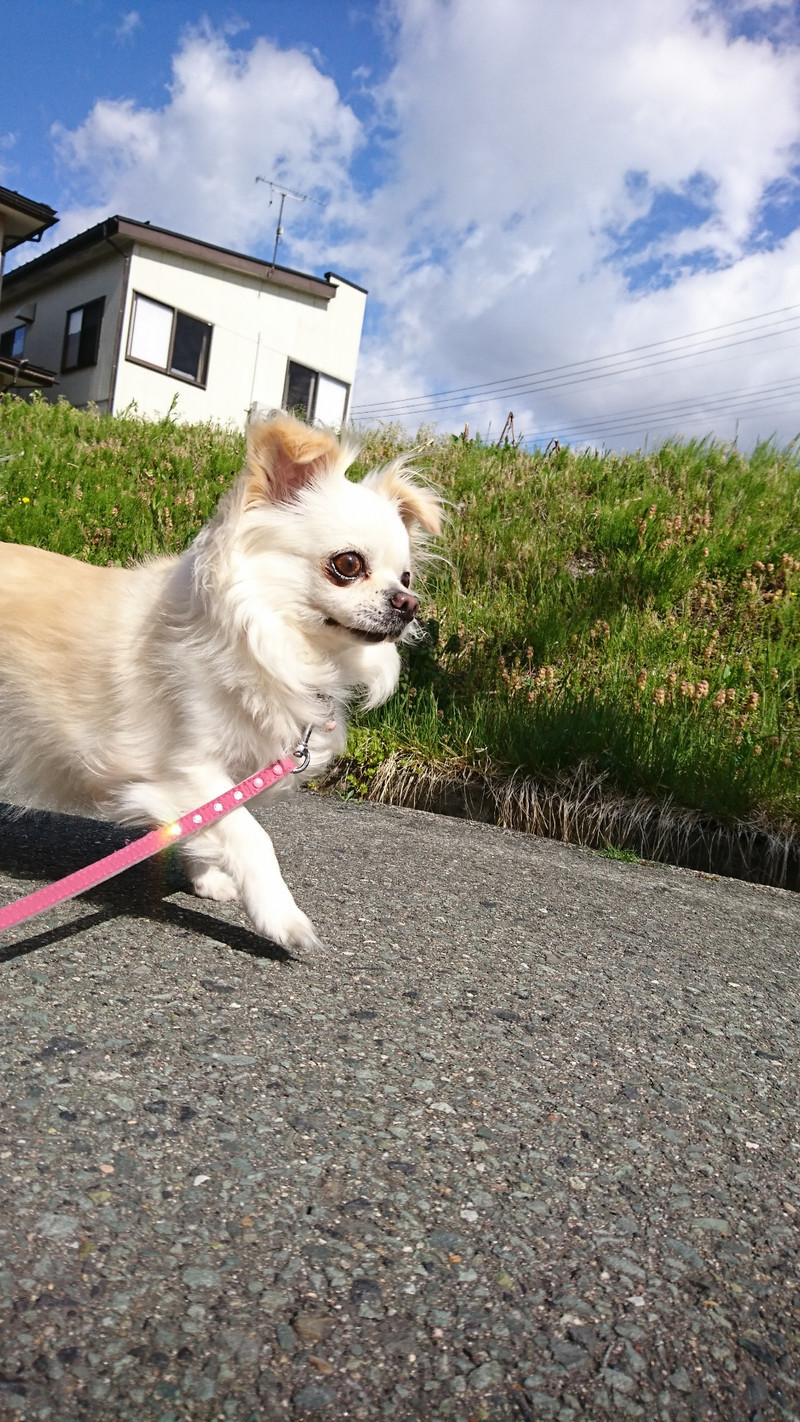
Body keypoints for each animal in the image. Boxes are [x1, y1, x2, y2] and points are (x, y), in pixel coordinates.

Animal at [0, 411, 441, 950]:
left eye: (407, 577)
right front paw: (281, 918)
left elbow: (203, 827)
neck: (279, 647)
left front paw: (209, 877)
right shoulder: (183, 770)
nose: (408, 604)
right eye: (348, 564)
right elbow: (251, 835)